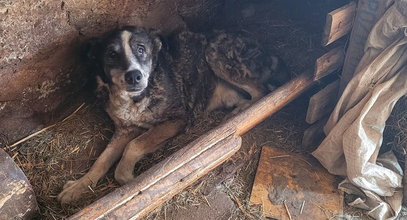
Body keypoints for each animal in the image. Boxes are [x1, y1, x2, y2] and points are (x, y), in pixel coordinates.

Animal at [57, 25, 290, 203]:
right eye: (112, 54)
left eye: (141, 49)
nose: (134, 76)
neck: (136, 98)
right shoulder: (124, 129)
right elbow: (102, 161)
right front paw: (79, 186)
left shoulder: (178, 119)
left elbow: (135, 146)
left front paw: (128, 178)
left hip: (215, 53)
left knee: (261, 90)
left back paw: (244, 111)